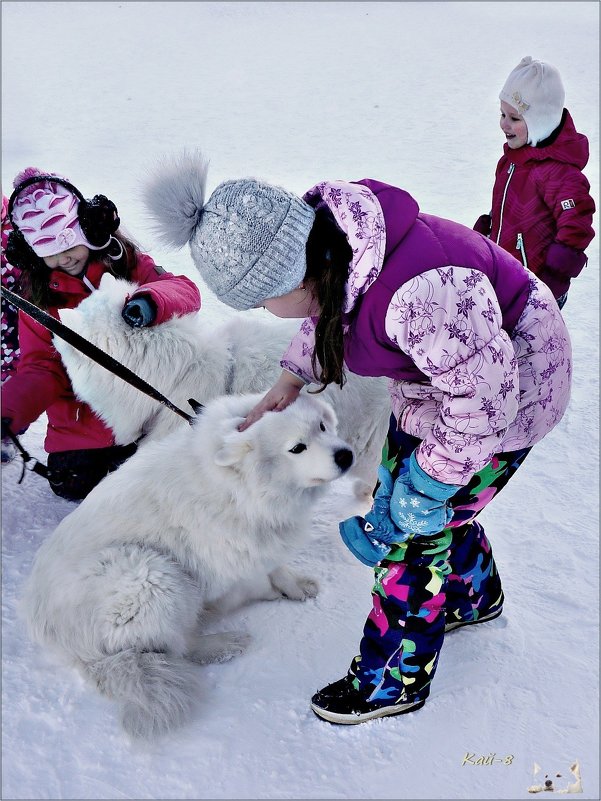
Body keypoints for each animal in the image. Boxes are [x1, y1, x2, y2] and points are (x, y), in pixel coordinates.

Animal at [21, 392, 354, 736]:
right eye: (297, 447)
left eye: (322, 426)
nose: (345, 456)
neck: (240, 486)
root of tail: (79, 653)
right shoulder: (227, 556)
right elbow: (258, 575)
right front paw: (273, 591)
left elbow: (277, 567)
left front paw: (295, 585)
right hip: (156, 575)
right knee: (181, 646)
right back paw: (226, 643)